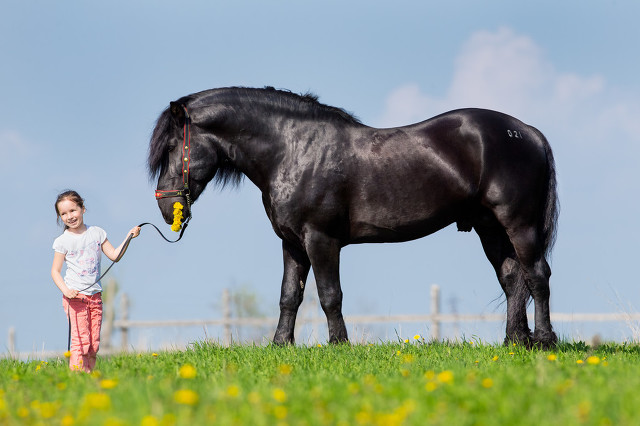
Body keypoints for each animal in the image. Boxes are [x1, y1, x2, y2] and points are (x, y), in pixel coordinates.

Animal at [148, 85, 556, 346]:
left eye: (170, 147)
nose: (166, 208)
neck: (293, 150)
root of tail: (528, 132)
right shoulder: (292, 243)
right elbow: (289, 295)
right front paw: (280, 345)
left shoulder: (321, 240)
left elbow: (330, 294)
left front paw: (339, 345)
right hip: (491, 228)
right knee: (512, 278)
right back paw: (514, 341)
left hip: (520, 224)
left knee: (537, 276)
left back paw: (545, 340)